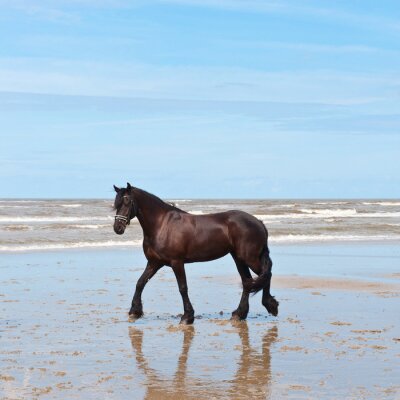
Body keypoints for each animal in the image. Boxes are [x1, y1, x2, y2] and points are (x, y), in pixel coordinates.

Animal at [112, 183, 278, 324]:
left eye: (127, 201)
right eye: (116, 204)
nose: (117, 228)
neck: (162, 225)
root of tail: (259, 222)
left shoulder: (176, 262)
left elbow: (182, 288)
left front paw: (187, 317)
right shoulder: (154, 263)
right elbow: (140, 283)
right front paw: (134, 311)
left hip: (249, 258)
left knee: (265, 274)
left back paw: (270, 305)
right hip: (239, 258)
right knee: (248, 282)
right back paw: (239, 313)